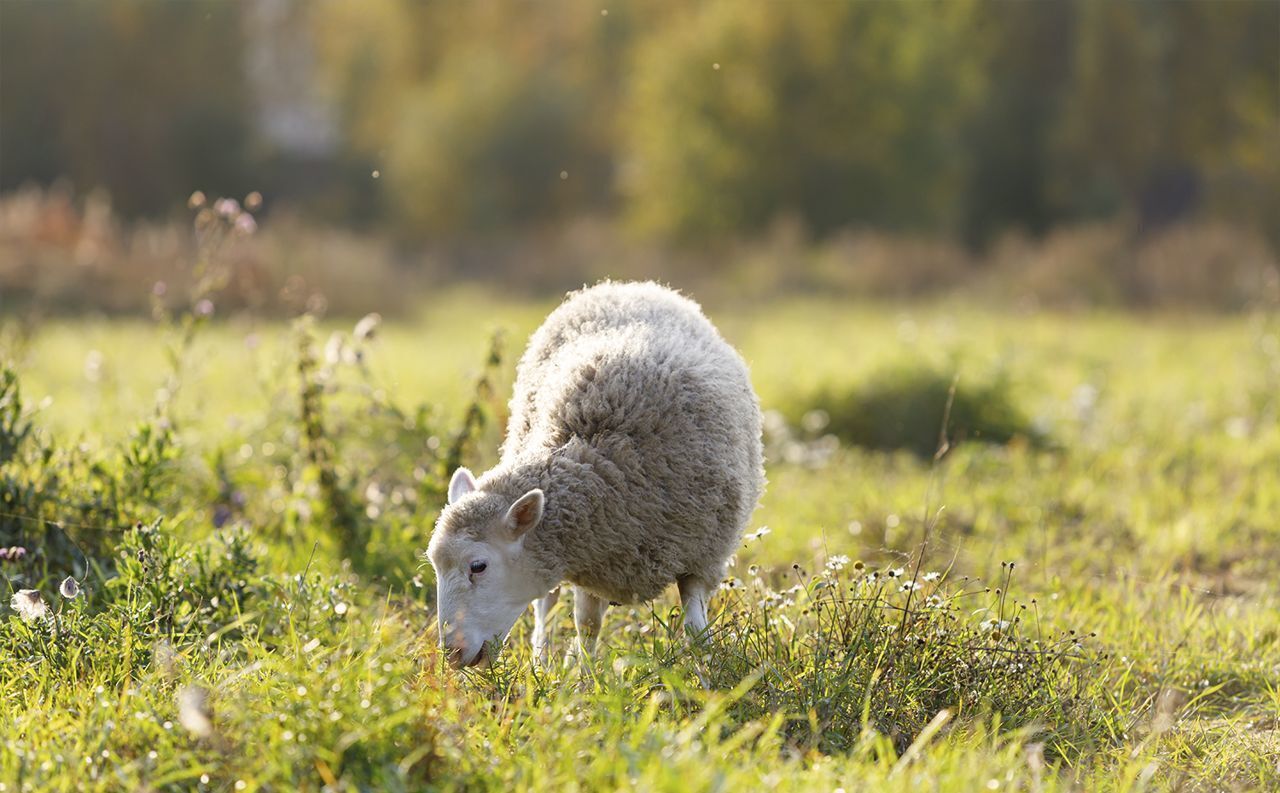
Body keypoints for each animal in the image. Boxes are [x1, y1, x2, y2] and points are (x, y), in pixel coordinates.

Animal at [430, 281, 762, 665]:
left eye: (478, 566)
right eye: (434, 565)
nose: (452, 654)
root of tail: (626, 286)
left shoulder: (701, 558)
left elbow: (696, 630)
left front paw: (706, 672)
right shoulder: (593, 558)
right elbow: (587, 626)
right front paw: (582, 677)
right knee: (545, 607)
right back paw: (541, 660)